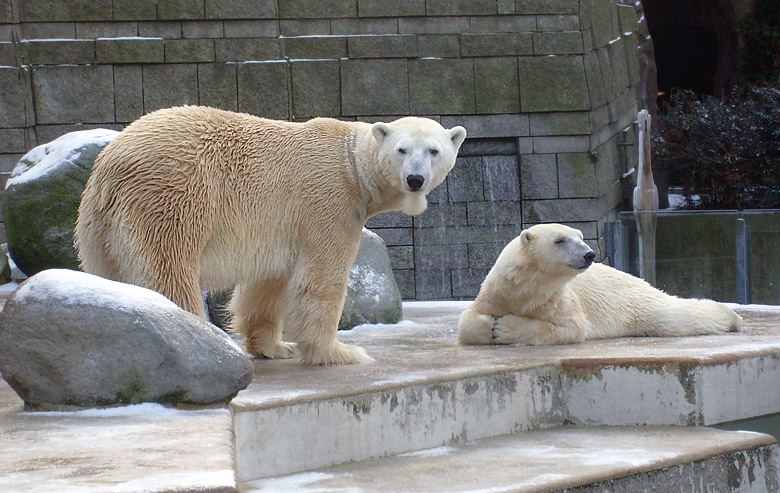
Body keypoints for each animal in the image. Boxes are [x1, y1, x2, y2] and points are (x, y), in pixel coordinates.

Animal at [74, 105, 464, 364]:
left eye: (434, 150)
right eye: (402, 150)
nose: (415, 179)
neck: (352, 165)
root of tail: (113, 161)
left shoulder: (281, 227)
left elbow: (267, 284)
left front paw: (275, 347)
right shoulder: (329, 203)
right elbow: (320, 282)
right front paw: (340, 352)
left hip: (97, 226)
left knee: (107, 273)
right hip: (174, 194)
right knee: (169, 271)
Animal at [460, 224, 740, 346]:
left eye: (580, 236)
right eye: (559, 240)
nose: (589, 254)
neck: (524, 290)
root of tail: (639, 279)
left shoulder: (558, 300)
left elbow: (570, 328)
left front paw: (503, 328)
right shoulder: (495, 292)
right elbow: (466, 322)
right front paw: (489, 326)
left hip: (634, 304)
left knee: (672, 317)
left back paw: (731, 317)